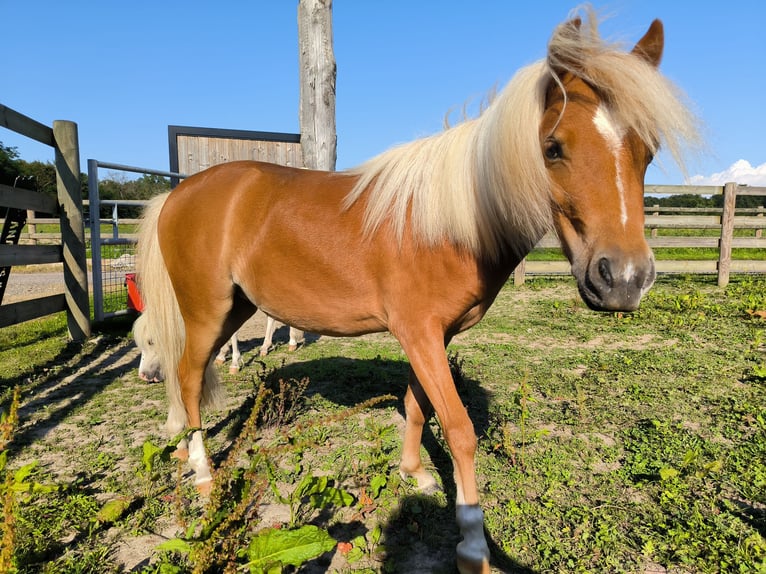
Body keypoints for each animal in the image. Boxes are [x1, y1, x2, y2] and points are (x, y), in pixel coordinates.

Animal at [134, 11, 704, 572]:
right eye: (553, 147)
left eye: (648, 151)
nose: (624, 280)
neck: (452, 221)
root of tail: (178, 193)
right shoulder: (420, 332)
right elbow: (459, 428)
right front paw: (472, 545)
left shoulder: (432, 335)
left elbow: (416, 404)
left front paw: (415, 473)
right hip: (207, 308)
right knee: (188, 376)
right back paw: (203, 474)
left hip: (235, 307)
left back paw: (183, 449)